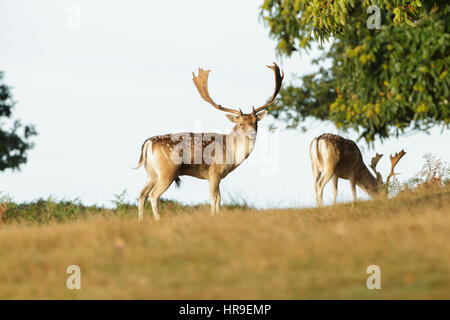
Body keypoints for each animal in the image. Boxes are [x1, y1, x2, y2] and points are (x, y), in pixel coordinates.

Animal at [134, 63, 284, 221]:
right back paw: (158, 220)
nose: (252, 132)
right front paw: (213, 216)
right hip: (167, 171)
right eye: (240, 124)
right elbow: (213, 197)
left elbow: (219, 198)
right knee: (153, 195)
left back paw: (141, 220)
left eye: (256, 122)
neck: (231, 153)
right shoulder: (214, 171)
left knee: (142, 194)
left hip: (151, 173)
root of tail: (149, 143)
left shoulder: (219, 176)